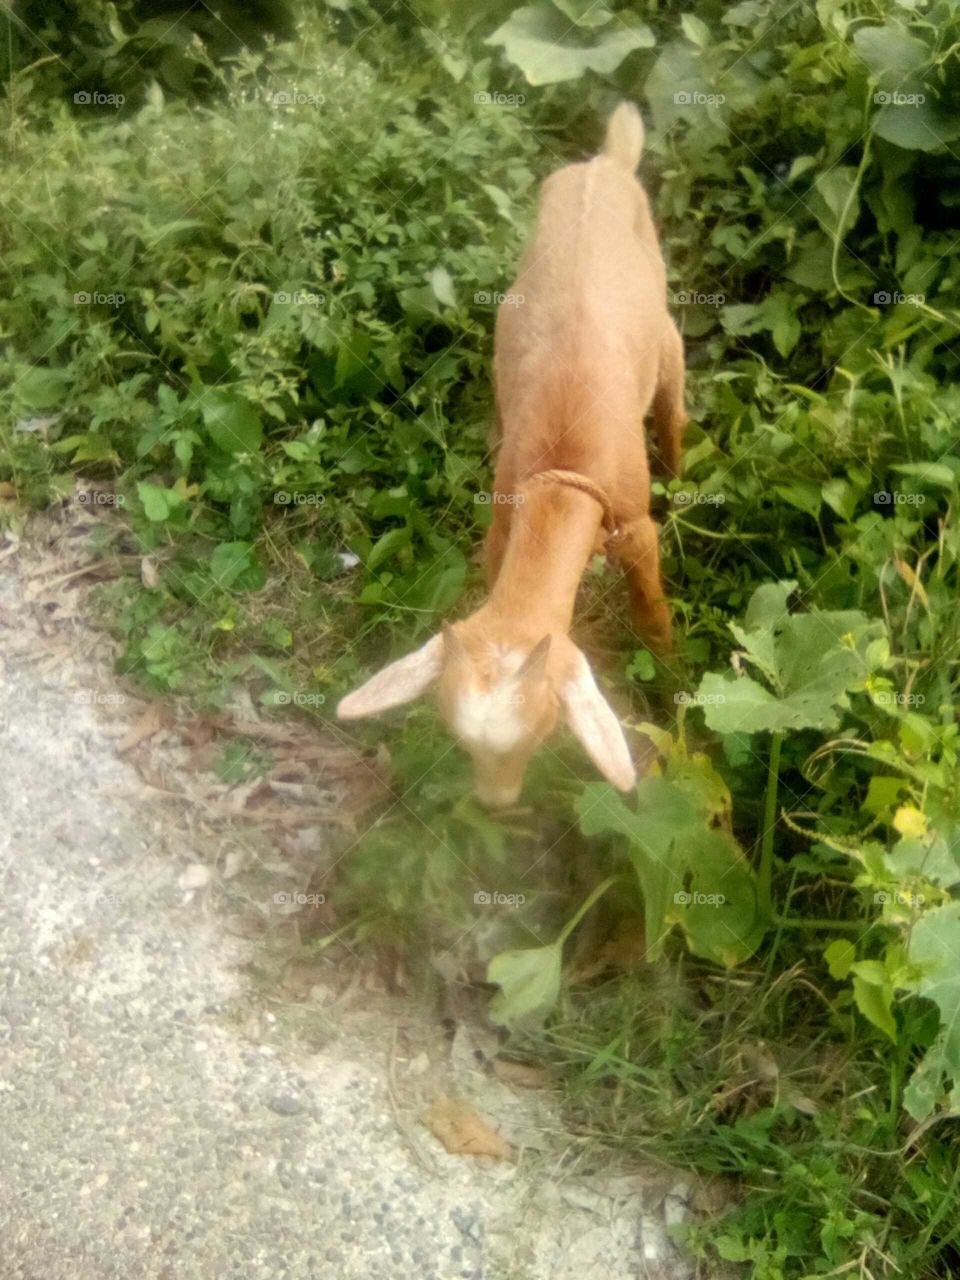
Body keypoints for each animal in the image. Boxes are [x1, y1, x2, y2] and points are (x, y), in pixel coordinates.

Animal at [338, 103, 686, 808]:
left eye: (543, 734)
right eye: (460, 742)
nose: (495, 805)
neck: (564, 482)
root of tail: (605, 162)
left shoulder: (635, 526)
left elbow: (652, 610)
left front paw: (666, 672)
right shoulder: (503, 523)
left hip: (664, 328)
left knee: (673, 399)